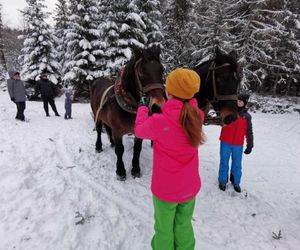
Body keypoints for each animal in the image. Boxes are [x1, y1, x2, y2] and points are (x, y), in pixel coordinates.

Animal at [89, 47, 164, 180]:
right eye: (141, 72)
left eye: (162, 71)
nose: (158, 107)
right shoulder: (117, 131)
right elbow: (120, 150)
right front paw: (120, 171)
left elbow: (137, 149)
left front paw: (135, 169)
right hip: (96, 115)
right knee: (98, 130)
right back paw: (98, 146)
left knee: (108, 128)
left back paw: (112, 142)